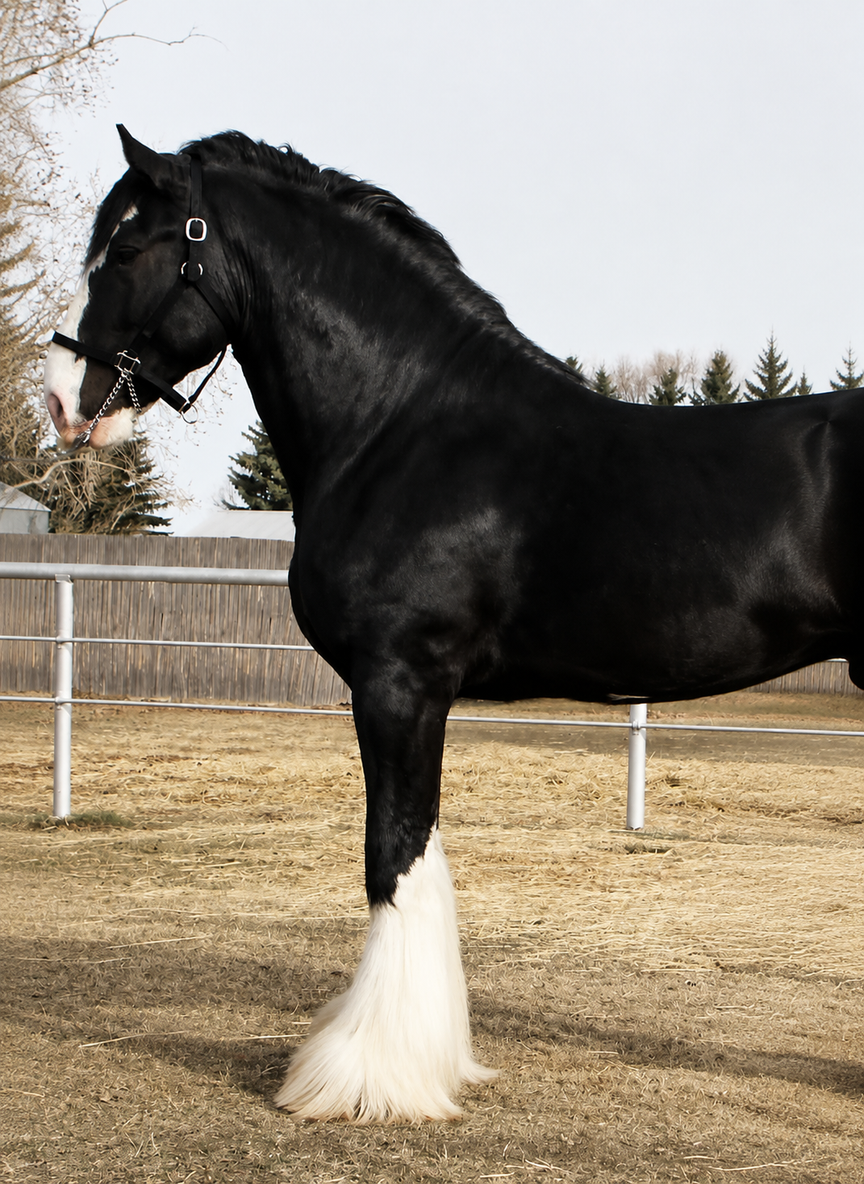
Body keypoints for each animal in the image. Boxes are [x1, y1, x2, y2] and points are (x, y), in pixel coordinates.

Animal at [43, 126, 864, 1122]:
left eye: (128, 248)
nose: (61, 398)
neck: (403, 422)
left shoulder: (399, 683)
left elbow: (391, 858)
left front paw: (368, 1078)